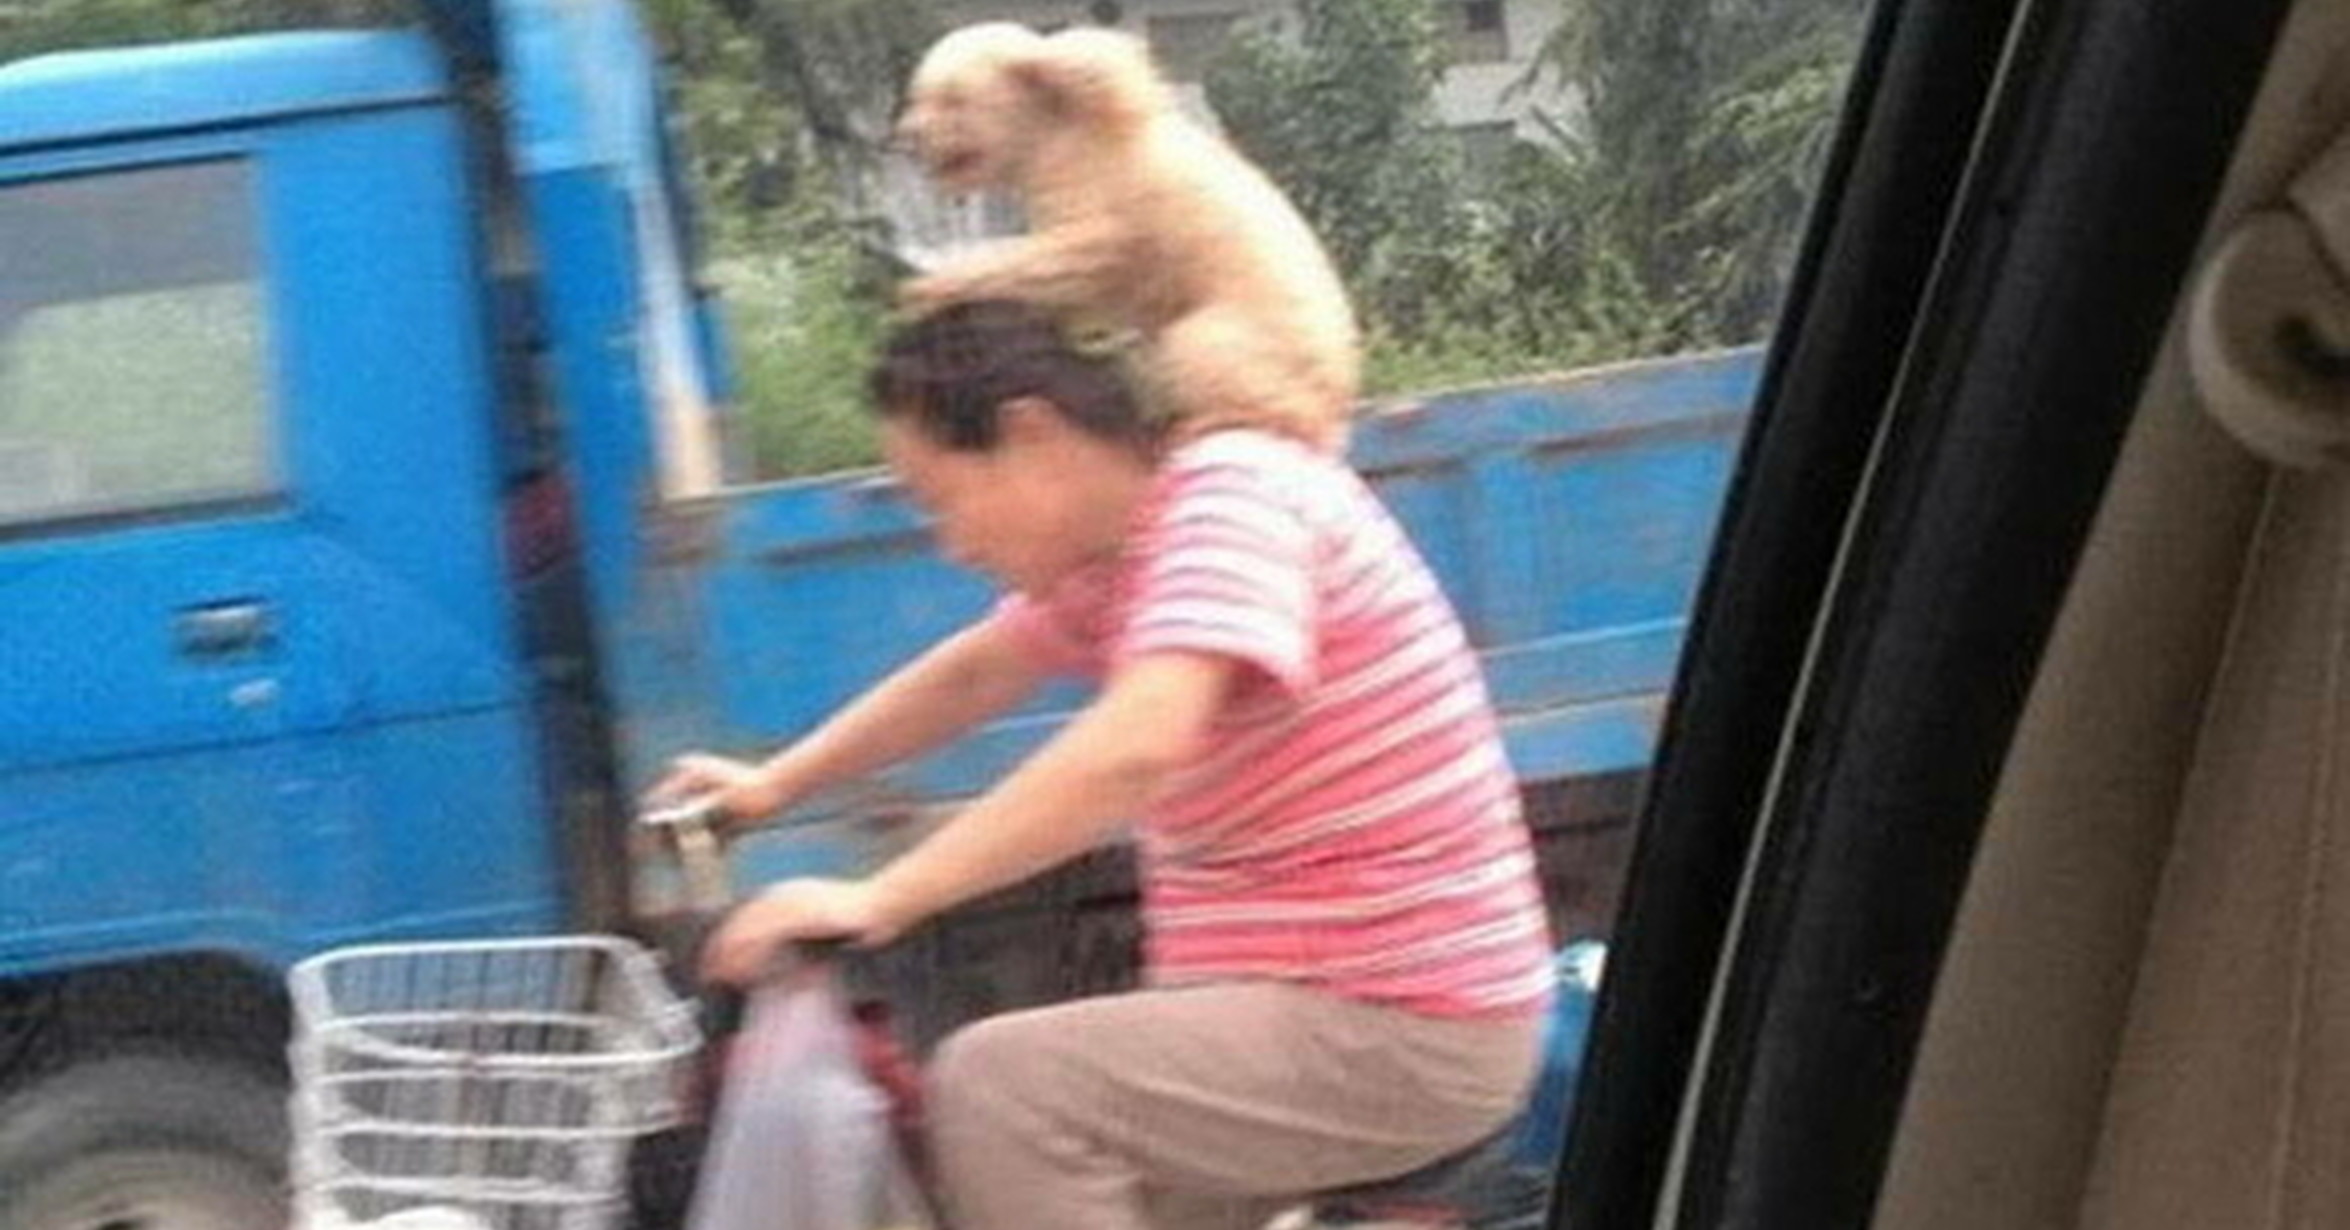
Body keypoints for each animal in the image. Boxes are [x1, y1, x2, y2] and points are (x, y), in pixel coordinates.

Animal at [896, 22, 1361, 454]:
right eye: (919, 94)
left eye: (952, 97)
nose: (908, 136)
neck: (1058, 124)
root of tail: (1336, 406)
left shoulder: (1093, 180)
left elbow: (1082, 251)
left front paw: (929, 288)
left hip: (1254, 335)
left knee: (1201, 353)